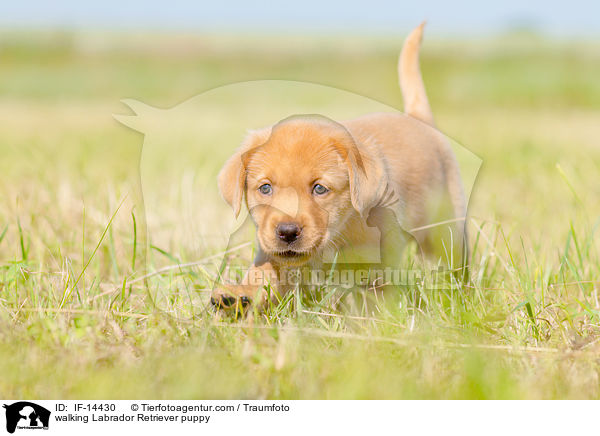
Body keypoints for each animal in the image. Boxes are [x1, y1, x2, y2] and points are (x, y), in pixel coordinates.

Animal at [211, 23, 468, 310]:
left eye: (320, 189)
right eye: (265, 188)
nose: (287, 232)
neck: (342, 229)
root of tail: (417, 118)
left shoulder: (383, 251)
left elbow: (377, 292)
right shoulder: (272, 251)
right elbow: (263, 272)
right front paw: (237, 296)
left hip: (446, 226)